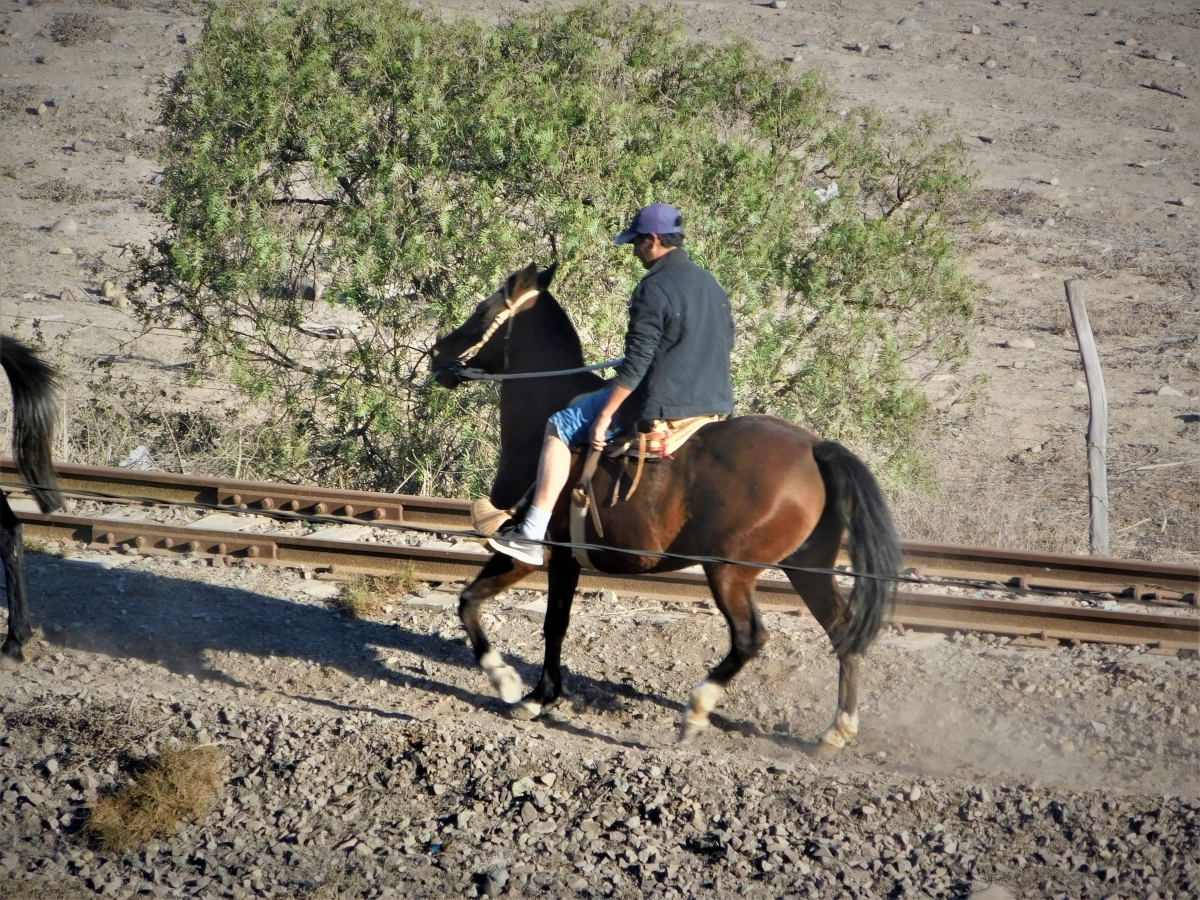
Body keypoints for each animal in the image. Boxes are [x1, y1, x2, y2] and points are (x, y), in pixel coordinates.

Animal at [432, 262, 902, 753]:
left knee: (750, 638)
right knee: (842, 631)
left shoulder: (534, 552)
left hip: (729, 571)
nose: (436, 352)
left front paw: (514, 685)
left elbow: (498, 608)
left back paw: (696, 712)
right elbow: (521, 614)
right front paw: (534, 692)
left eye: (481, 310)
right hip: (808, 567)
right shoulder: (565, 561)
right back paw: (837, 730)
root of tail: (815, 447)